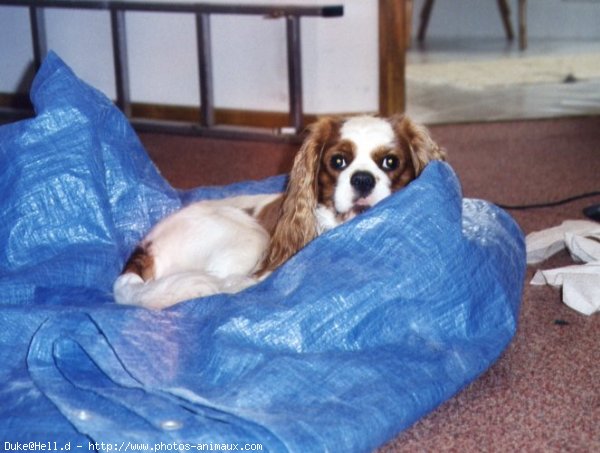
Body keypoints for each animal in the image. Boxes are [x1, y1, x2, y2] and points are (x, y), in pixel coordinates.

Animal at [115, 115, 446, 308]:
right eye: (338, 161)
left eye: (391, 162)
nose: (362, 179)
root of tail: (143, 249)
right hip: (250, 236)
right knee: (228, 283)